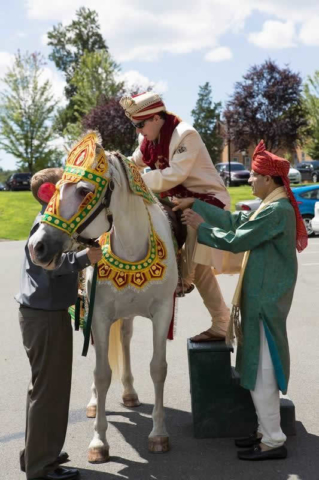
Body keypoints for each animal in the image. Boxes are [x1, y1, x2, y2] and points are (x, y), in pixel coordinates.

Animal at [28, 142, 179, 462]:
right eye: (56, 189)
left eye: (84, 190)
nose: (37, 246)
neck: (131, 248)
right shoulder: (98, 314)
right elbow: (101, 374)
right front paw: (99, 441)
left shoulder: (163, 312)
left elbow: (158, 368)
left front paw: (159, 434)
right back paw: (95, 402)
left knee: (125, 338)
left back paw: (130, 393)